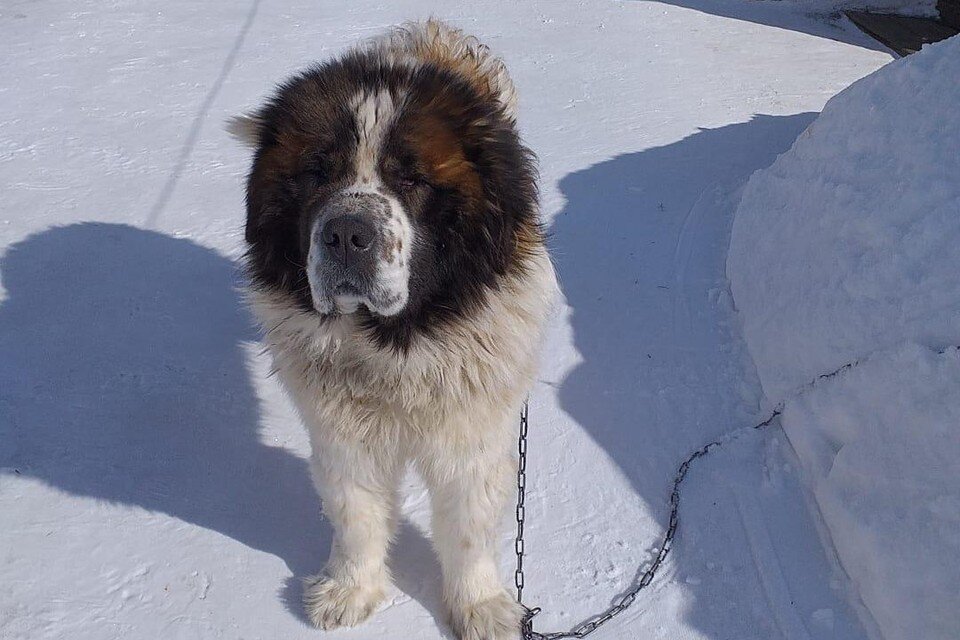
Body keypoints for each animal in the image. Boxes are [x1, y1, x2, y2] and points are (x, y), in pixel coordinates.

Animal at [231, 20, 556, 640]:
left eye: (411, 178)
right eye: (316, 172)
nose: (347, 235)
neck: (392, 345)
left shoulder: (469, 432)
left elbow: (468, 525)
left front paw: (479, 608)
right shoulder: (341, 431)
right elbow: (355, 512)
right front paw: (349, 591)